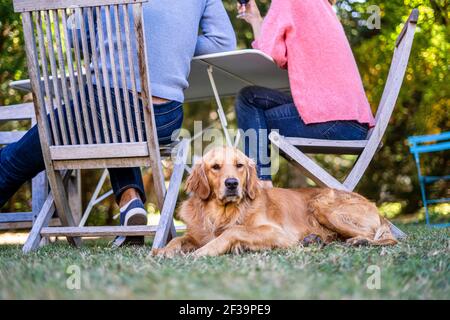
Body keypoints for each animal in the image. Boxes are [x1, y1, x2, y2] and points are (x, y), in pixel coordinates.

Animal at [152, 147, 398, 258]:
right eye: (215, 167)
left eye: (239, 165)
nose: (231, 184)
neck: (222, 213)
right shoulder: (196, 234)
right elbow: (179, 239)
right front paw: (163, 250)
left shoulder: (276, 232)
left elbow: (233, 231)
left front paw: (203, 252)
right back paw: (315, 240)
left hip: (323, 206)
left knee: (388, 239)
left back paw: (359, 241)